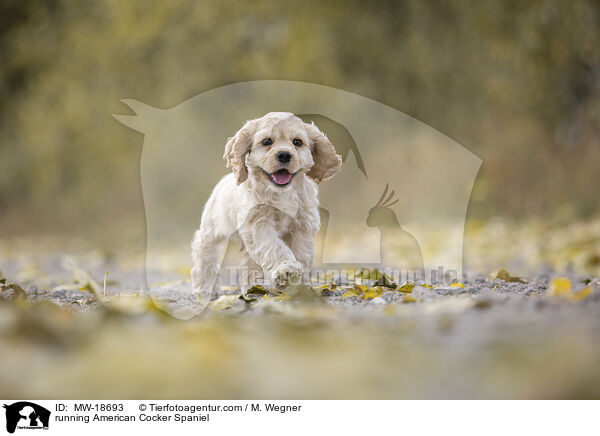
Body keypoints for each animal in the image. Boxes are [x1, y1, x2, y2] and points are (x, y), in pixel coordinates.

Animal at [192, 112, 342, 300]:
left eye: (297, 142)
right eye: (266, 142)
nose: (284, 155)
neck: (281, 192)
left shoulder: (303, 226)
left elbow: (301, 253)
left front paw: (295, 284)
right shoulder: (258, 224)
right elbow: (274, 247)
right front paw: (286, 270)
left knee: (249, 264)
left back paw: (252, 289)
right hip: (212, 231)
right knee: (205, 255)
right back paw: (205, 290)